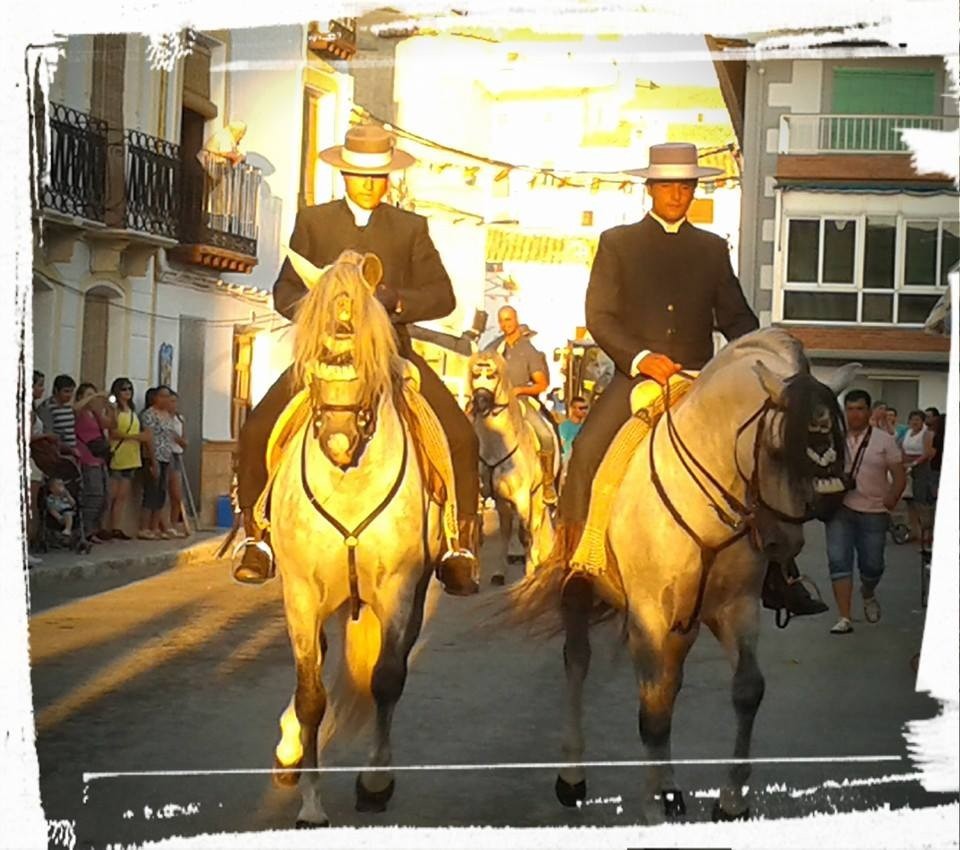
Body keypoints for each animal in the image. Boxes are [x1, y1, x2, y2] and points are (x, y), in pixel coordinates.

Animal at [266, 248, 450, 824]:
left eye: (367, 355)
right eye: (315, 359)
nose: (339, 441)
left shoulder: (398, 590)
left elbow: (386, 679)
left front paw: (374, 782)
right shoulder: (300, 593)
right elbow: (311, 694)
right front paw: (310, 803)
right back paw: (289, 750)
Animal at [464, 352, 556, 584]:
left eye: (492, 374)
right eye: (476, 374)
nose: (480, 402)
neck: (494, 449)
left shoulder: (522, 498)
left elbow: (525, 533)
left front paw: (530, 570)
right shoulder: (482, 496)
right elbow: (476, 532)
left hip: (537, 496)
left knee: (535, 525)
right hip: (503, 502)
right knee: (506, 530)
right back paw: (500, 572)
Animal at [510, 330, 856, 820]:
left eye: (836, 452)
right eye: (777, 449)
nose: (784, 543)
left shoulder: (736, 607)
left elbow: (746, 690)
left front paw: (730, 801)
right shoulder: (649, 615)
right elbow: (652, 712)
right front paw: (659, 802)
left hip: (684, 624)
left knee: (668, 683)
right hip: (584, 594)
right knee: (578, 662)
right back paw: (573, 779)